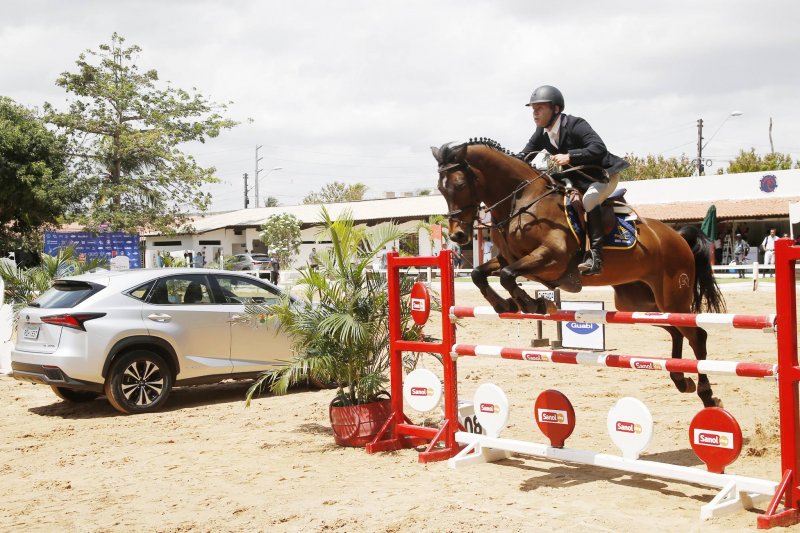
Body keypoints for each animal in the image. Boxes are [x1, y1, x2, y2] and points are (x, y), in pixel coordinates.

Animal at [434, 138, 728, 408]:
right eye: (440, 188)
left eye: (460, 185)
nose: (458, 236)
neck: (521, 200)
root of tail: (678, 237)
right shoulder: (510, 257)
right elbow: (479, 274)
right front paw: (505, 304)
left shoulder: (552, 257)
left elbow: (507, 275)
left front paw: (533, 304)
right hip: (638, 303)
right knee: (677, 331)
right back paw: (681, 380)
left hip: (672, 297)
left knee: (697, 336)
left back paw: (707, 395)